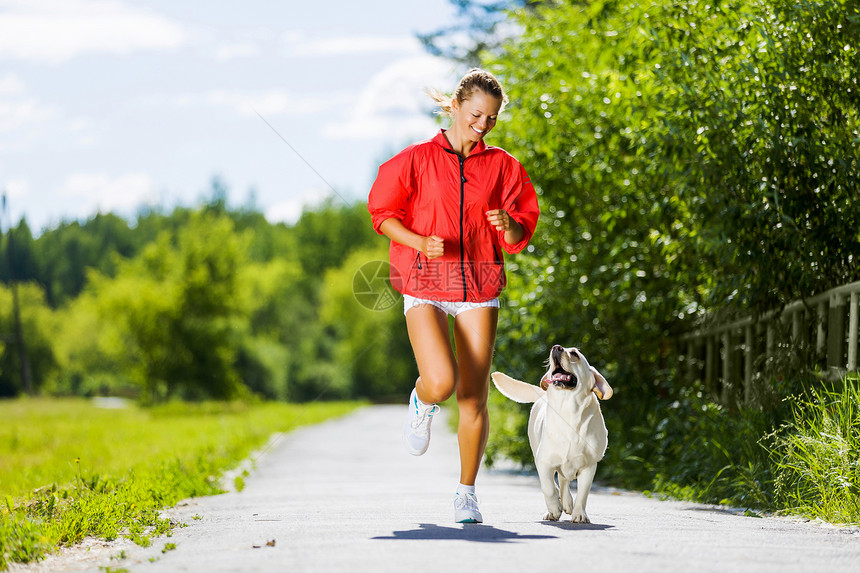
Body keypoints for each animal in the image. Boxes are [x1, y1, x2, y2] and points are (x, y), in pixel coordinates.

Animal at [490, 344, 612, 524]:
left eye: (574, 354)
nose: (556, 347)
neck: (569, 410)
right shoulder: (544, 461)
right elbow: (547, 487)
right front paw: (554, 509)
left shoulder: (589, 465)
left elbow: (583, 494)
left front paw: (579, 514)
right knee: (555, 483)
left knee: (563, 480)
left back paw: (567, 503)